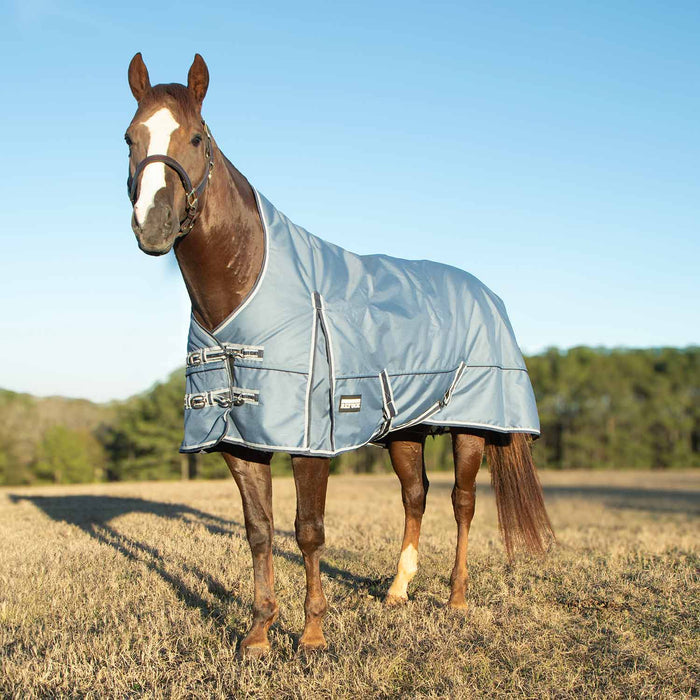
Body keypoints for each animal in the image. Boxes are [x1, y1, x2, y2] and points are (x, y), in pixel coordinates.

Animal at [124, 53, 554, 656]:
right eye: (130, 137)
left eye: (196, 137)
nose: (153, 226)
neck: (243, 289)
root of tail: (487, 294)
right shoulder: (238, 441)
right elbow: (259, 532)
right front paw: (258, 634)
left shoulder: (311, 442)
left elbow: (308, 531)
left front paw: (312, 634)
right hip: (405, 430)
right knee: (415, 496)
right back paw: (397, 592)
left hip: (471, 425)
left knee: (462, 503)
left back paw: (456, 599)